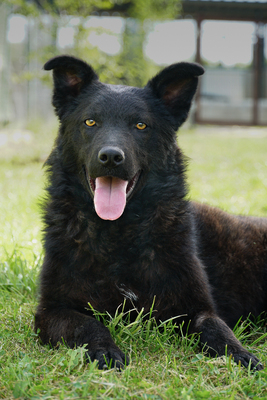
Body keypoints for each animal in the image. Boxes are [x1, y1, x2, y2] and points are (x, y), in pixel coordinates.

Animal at [36, 54, 267, 370]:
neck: (118, 234)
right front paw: (105, 349)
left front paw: (239, 354)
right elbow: (88, 324)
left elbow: (216, 327)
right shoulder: (51, 310)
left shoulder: (196, 308)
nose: (111, 157)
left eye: (141, 125)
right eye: (90, 122)